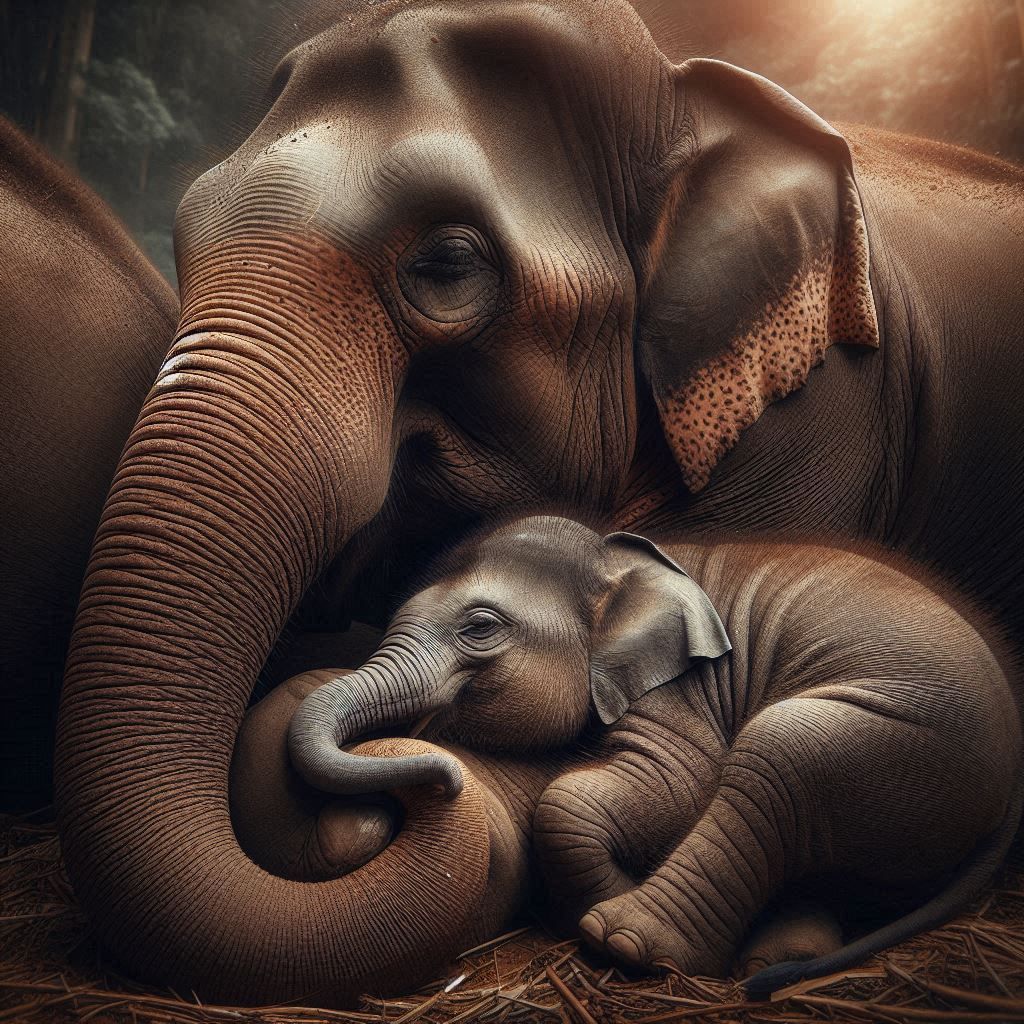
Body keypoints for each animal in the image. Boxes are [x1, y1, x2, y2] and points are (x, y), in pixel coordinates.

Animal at [225, 514, 1021, 1005]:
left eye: (479, 627)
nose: (446, 776)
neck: (620, 558)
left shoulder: (684, 689)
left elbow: (666, 784)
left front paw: (596, 906)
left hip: (907, 741)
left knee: (782, 748)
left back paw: (626, 939)